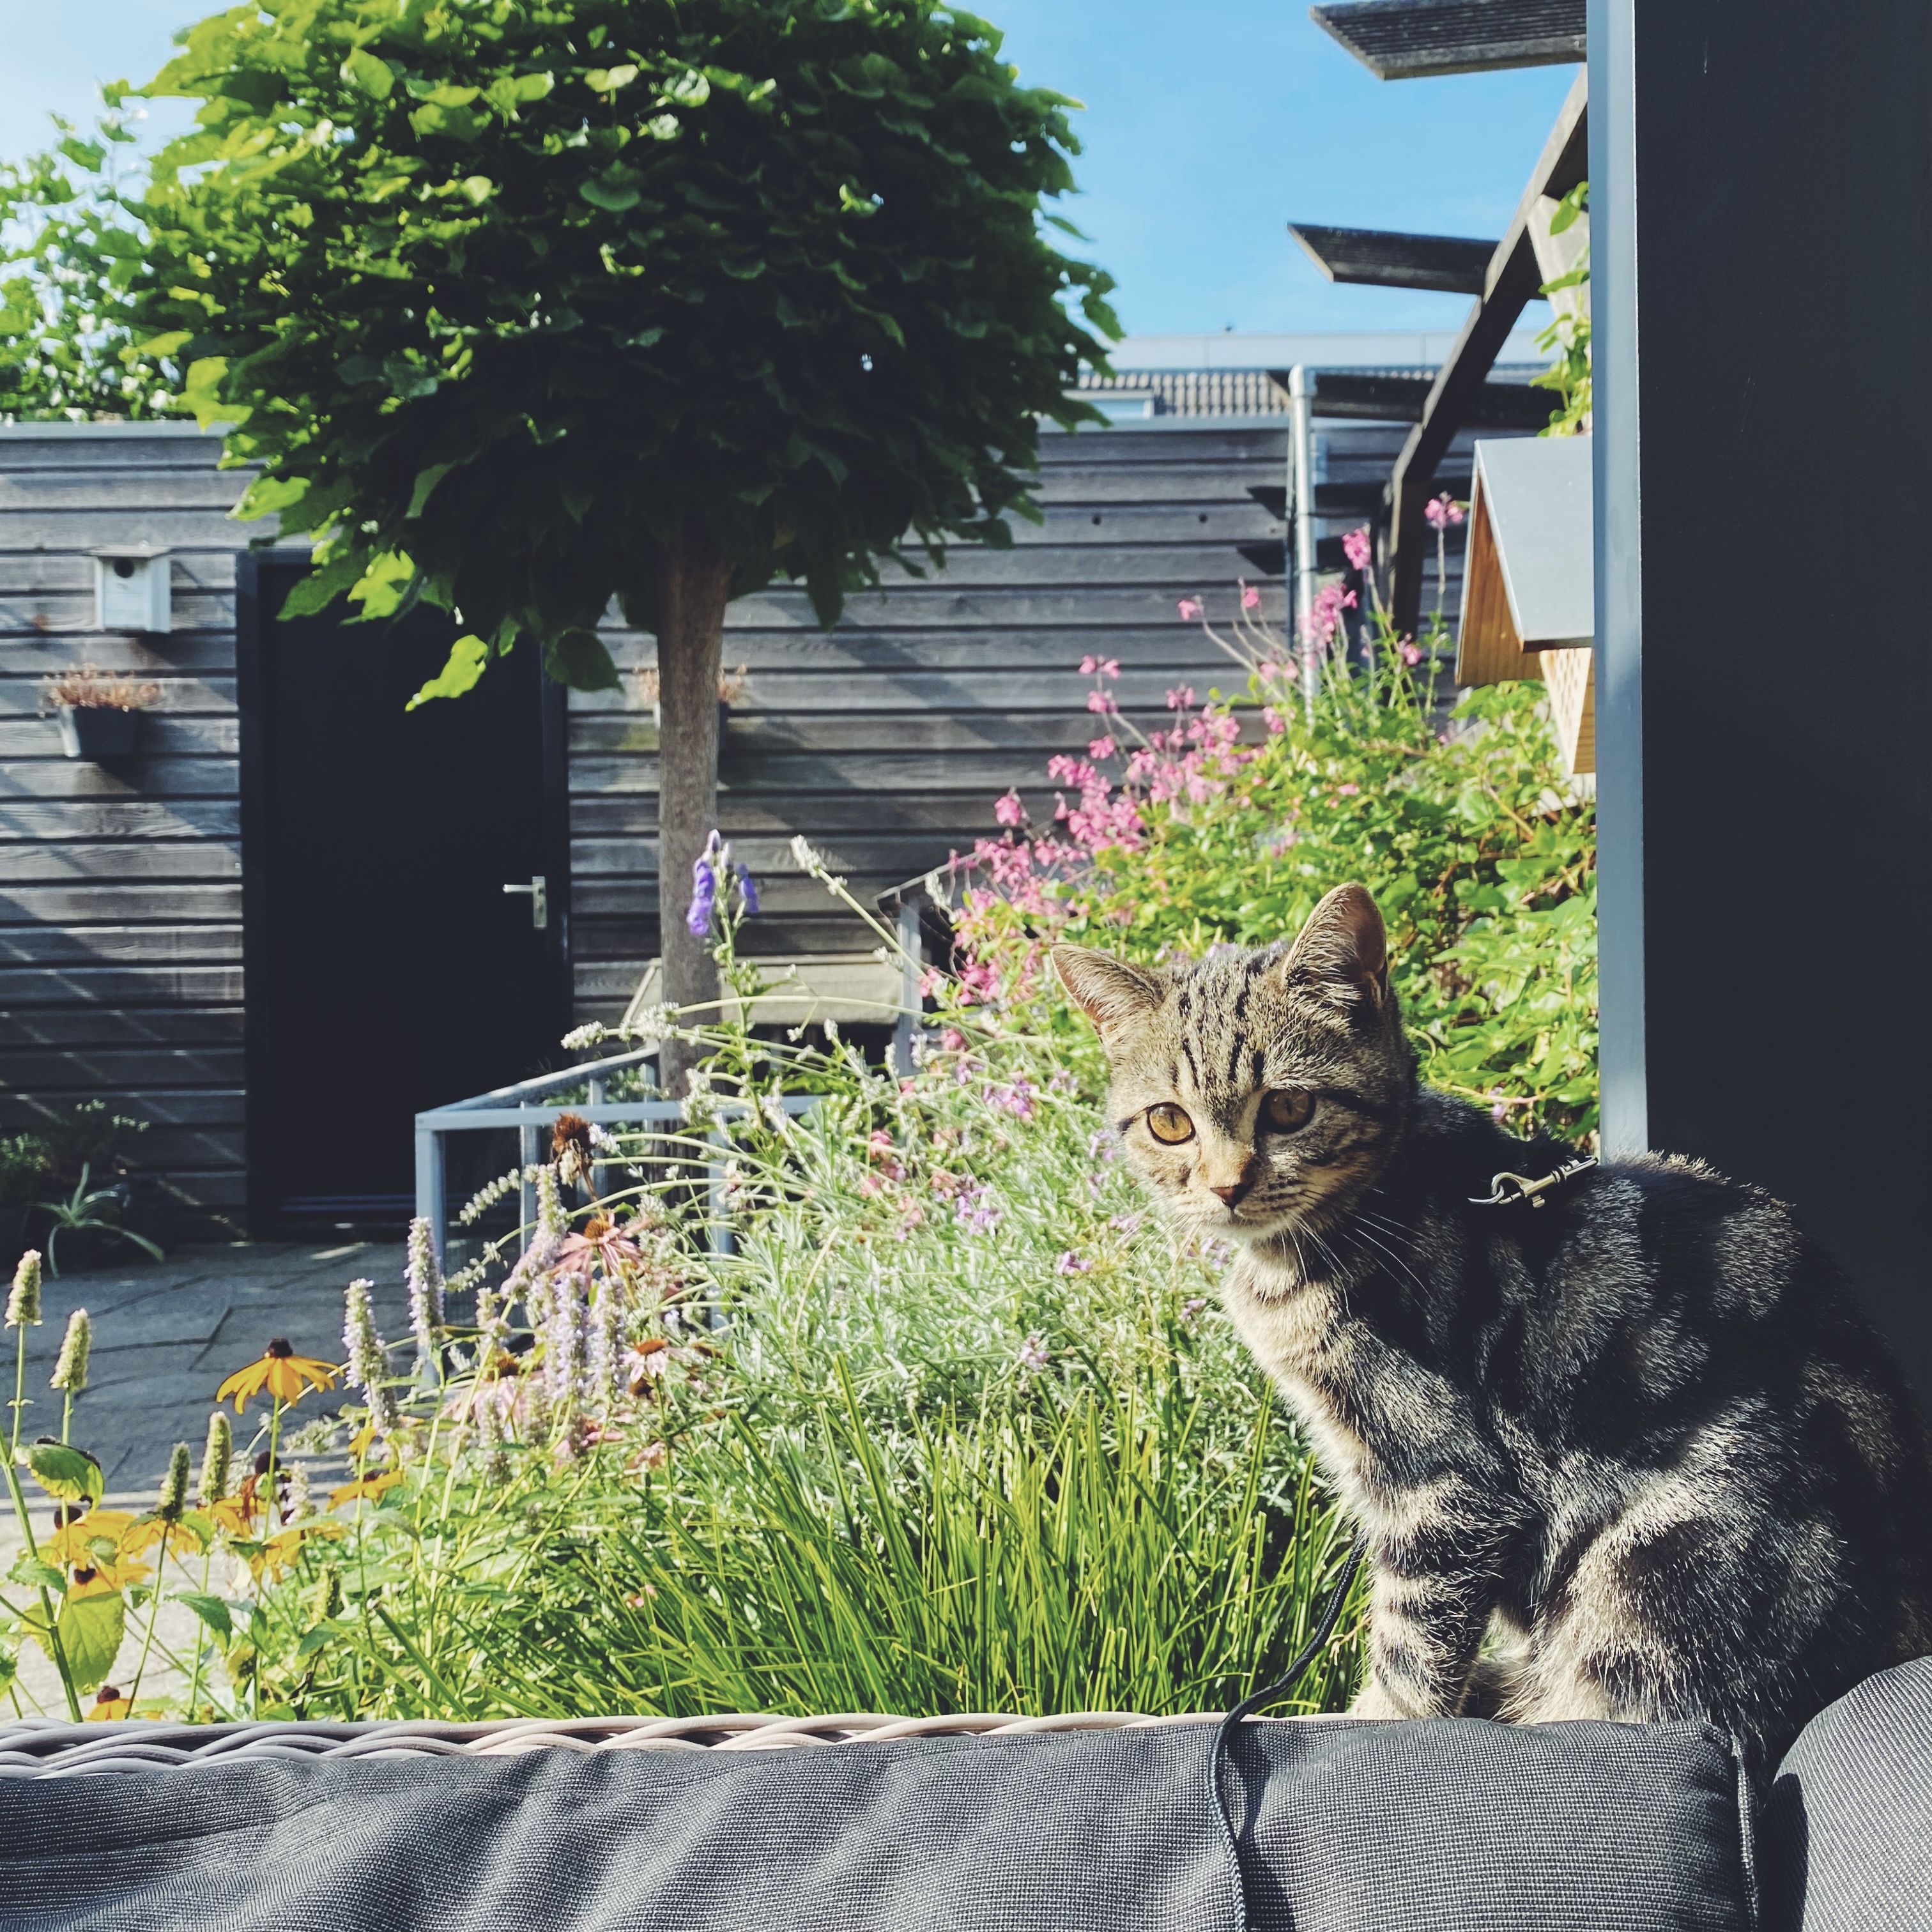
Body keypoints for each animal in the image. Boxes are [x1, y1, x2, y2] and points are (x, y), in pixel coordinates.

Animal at [1059, 884, 1932, 1769]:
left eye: (1290, 1107)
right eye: (1169, 1122)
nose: (1226, 1186)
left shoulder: (1444, 1482)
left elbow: (1412, 1642)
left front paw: (1378, 1723)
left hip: (1652, 1574)